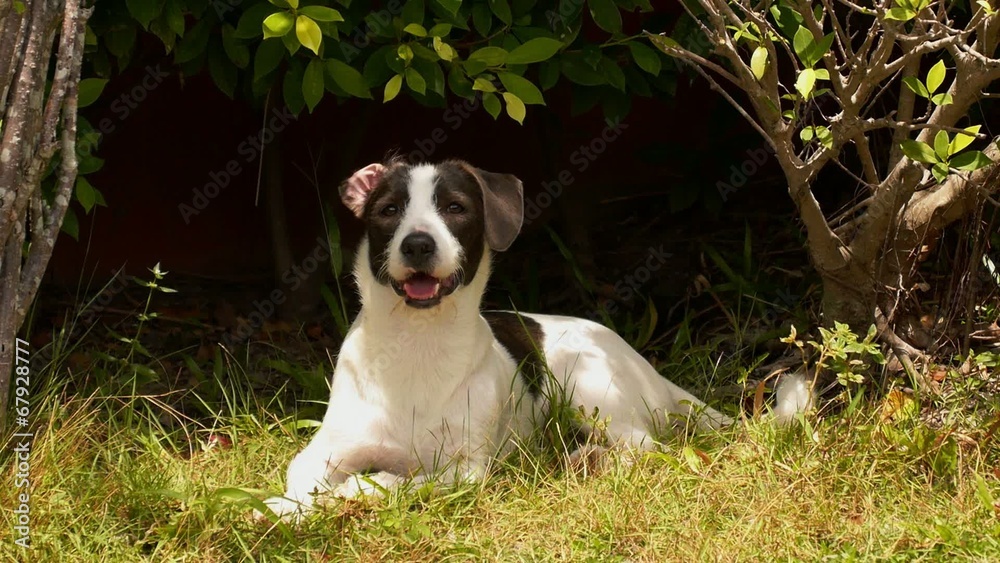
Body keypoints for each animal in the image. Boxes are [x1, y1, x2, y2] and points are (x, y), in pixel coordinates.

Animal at [258, 159, 804, 523]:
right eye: (389, 210)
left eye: (455, 208)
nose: (417, 244)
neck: (416, 345)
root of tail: (649, 370)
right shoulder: (324, 450)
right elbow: (302, 480)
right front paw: (285, 508)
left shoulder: (466, 470)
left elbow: (389, 482)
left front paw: (352, 492)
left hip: (585, 380)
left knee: (645, 445)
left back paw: (591, 460)